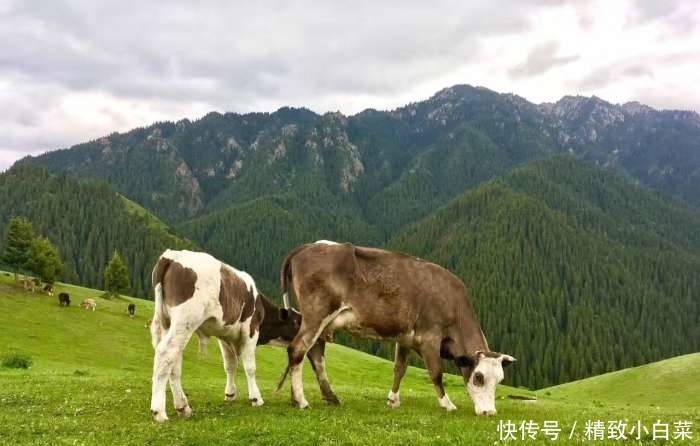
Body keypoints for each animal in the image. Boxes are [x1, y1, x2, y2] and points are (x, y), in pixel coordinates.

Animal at [148, 249, 308, 424]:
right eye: (296, 322)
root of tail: (171, 256)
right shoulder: (251, 331)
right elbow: (250, 367)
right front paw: (256, 398)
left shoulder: (224, 336)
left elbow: (230, 365)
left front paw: (230, 394)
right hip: (185, 320)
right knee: (165, 353)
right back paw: (159, 411)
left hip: (168, 322)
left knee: (173, 362)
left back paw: (183, 407)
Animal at [278, 242, 516, 416]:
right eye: (478, 377)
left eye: (500, 380)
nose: (490, 413)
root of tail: (306, 247)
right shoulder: (430, 337)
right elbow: (436, 373)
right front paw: (447, 404)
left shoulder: (405, 339)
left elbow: (399, 369)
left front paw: (393, 400)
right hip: (316, 314)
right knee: (298, 350)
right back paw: (301, 400)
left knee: (315, 356)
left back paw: (325, 397)